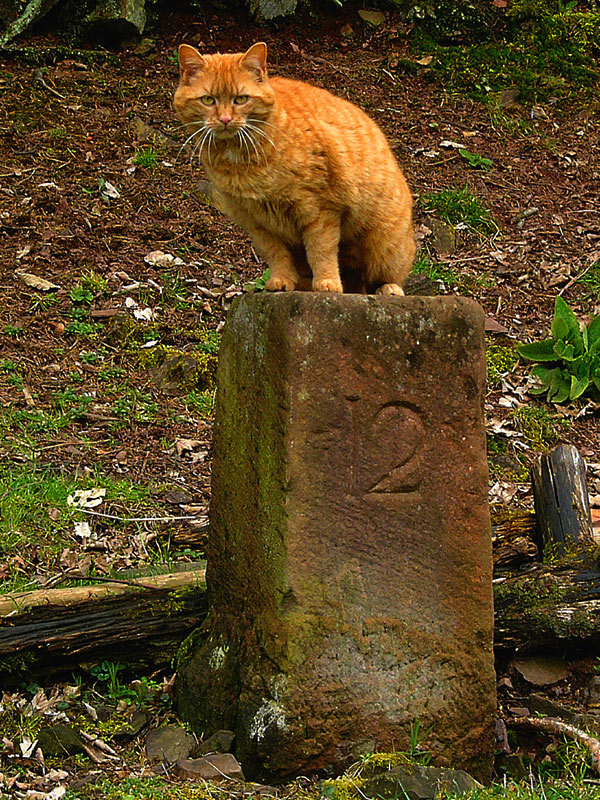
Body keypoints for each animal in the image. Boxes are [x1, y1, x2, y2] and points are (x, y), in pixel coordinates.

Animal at [175, 40, 412, 294]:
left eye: (241, 99)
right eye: (208, 100)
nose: (226, 120)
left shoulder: (319, 209)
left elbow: (321, 251)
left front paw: (327, 283)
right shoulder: (257, 222)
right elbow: (277, 255)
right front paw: (281, 280)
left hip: (383, 244)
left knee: (383, 277)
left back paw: (387, 288)